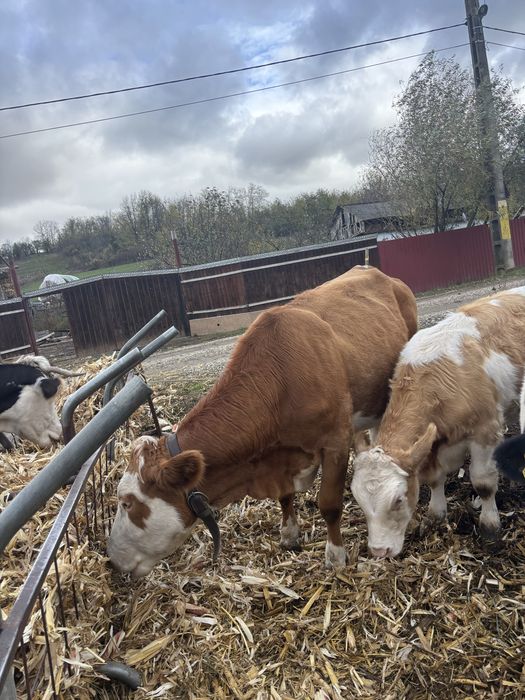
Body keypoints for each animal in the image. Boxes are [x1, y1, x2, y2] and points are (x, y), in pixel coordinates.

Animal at [107, 266, 418, 579]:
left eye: (127, 503)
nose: (112, 560)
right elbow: (284, 497)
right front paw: (289, 534)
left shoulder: (335, 442)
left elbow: (329, 504)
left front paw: (335, 556)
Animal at [351, 287, 525, 559]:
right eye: (358, 500)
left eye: (398, 499)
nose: (379, 551)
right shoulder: (430, 445)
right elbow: (433, 478)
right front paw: (435, 515)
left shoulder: (484, 430)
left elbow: (483, 482)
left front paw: (490, 526)